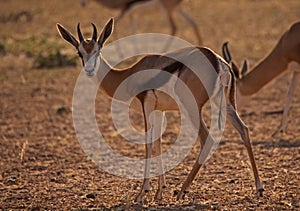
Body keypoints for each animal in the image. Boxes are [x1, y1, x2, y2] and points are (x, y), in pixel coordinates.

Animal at [56, 17, 262, 202]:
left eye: (98, 50)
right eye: (80, 53)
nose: (89, 71)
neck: (127, 75)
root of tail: (217, 61)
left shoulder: (146, 104)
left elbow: (148, 144)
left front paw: (142, 193)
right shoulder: (159, 110)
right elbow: (158, 144)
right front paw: (159, 191)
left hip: (192, 108)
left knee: (207, 139)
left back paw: (182, 191)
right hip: (227, 104)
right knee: (244, 130)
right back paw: (259, 188)